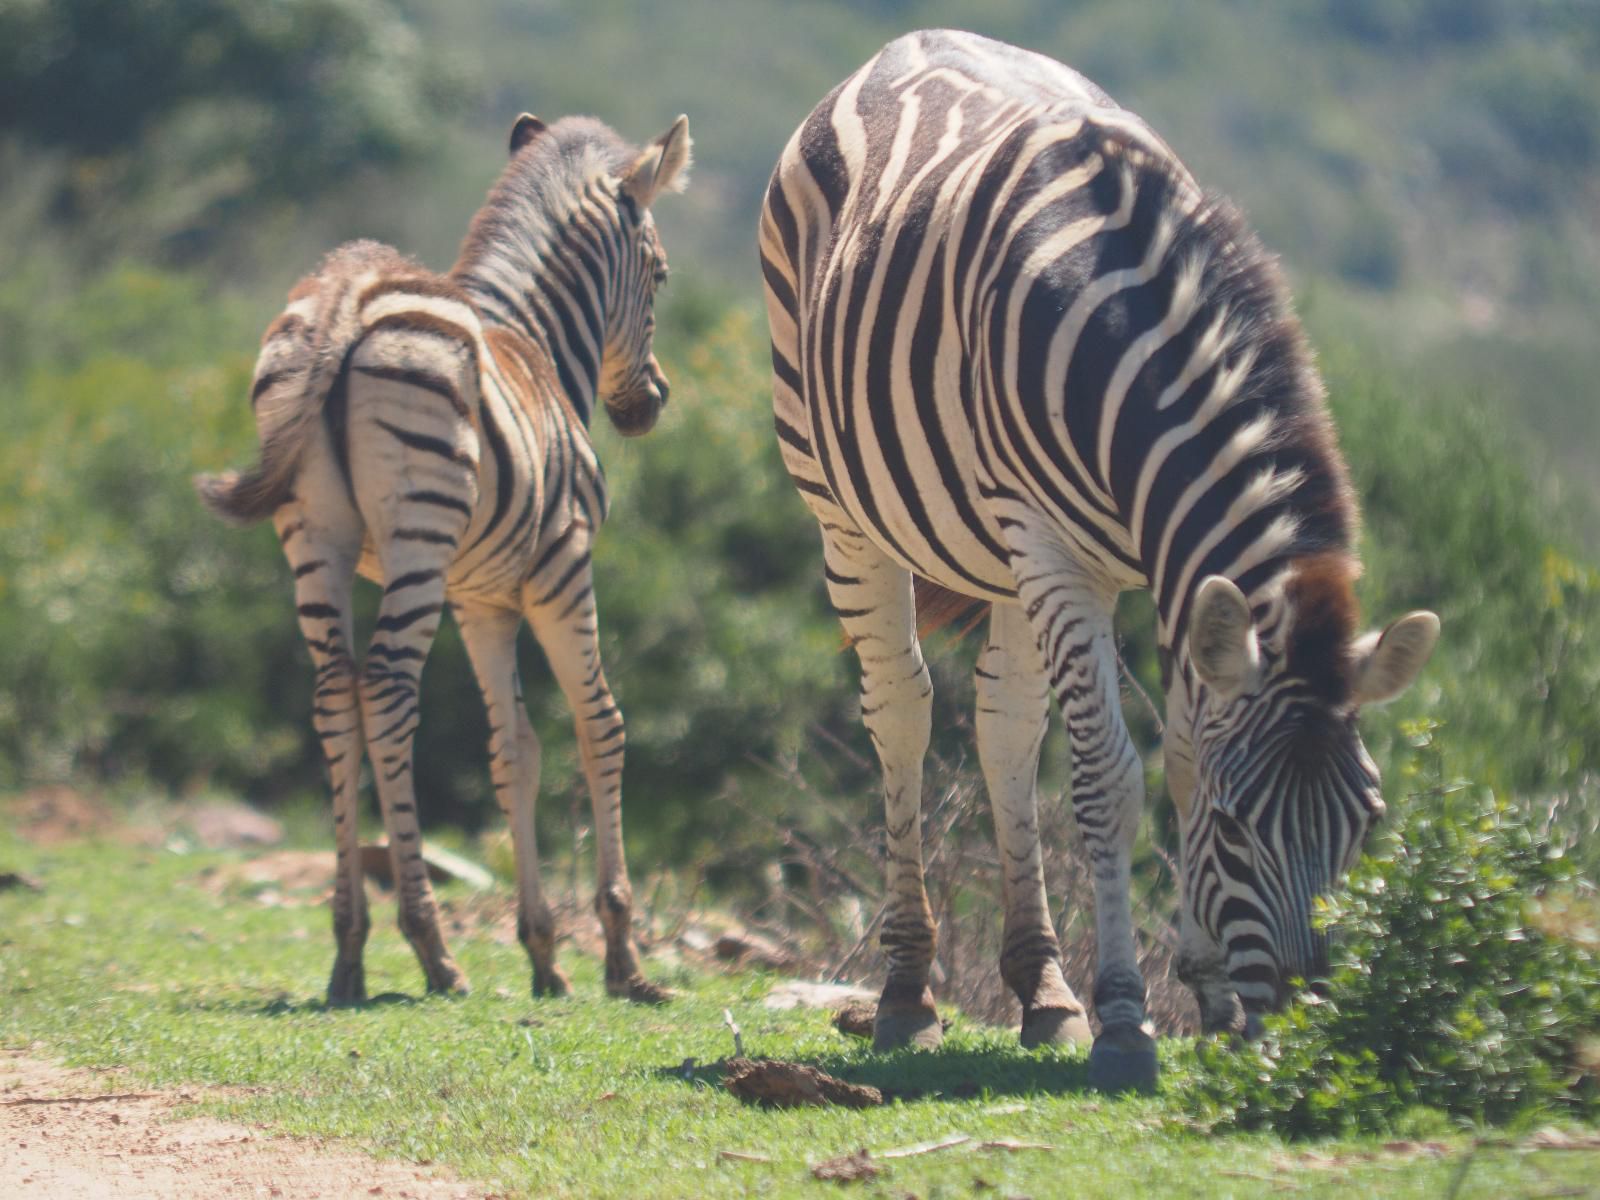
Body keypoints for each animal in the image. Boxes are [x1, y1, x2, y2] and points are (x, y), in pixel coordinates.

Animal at [196, 112, 691, 1011]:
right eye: (661, 275)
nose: (653, 404)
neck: (536, 342)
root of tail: (347, 294)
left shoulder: (482, 598)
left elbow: (514, 749)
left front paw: (544, 954)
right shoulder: (562, 566)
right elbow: (600, 724)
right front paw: (622, 957)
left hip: (313, 537)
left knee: (336, 694)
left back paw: (350, 949)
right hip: (418, 531)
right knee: (390, 689)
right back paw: (430, 947)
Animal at [758, 32, 1440, 1094]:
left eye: (1367, 825)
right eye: (1241, 830)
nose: (1312, 1035)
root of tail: (905, 43)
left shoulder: (1170, 574)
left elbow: (1185, 761)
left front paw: (1206, 994)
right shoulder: (1053, 548)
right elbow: (1108, 782)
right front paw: (1126, 1018)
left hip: (996, 552)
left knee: (1003, 723)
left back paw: (1043, 992)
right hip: (844, 508)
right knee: (902, 709)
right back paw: (909, 992)